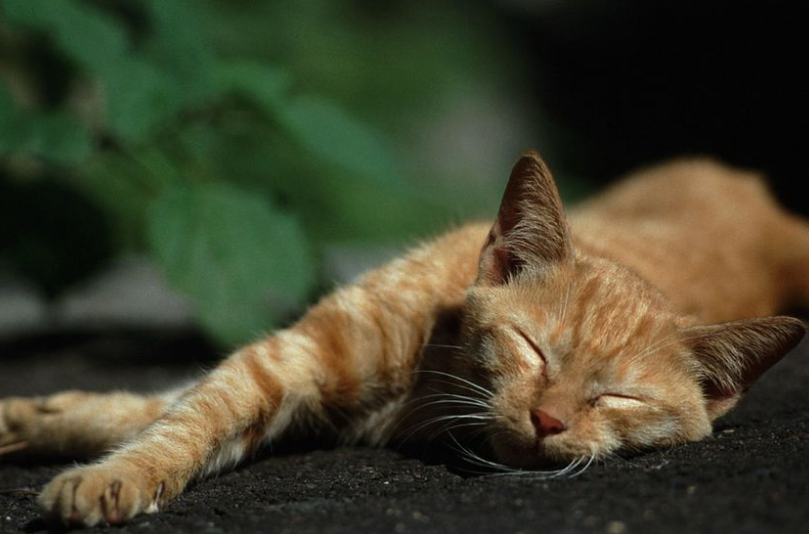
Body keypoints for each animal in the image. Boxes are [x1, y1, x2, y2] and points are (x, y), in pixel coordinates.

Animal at [1, 152, 808, 528]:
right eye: (532, 347)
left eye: (617, 398)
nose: (547, 419)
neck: (427, 375)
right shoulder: (287, 356)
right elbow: (177, 411)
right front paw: (62, 436)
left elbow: (176, 410)